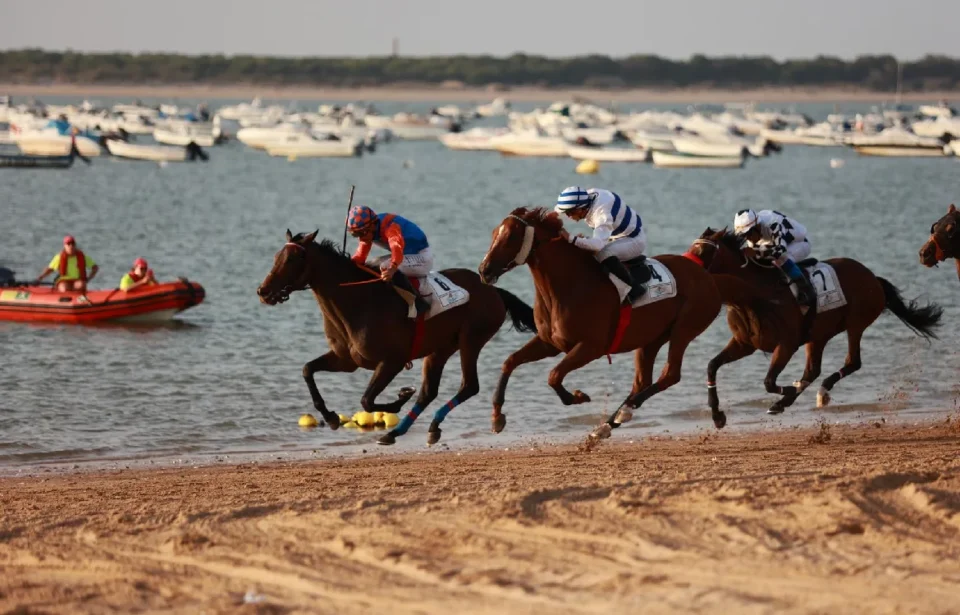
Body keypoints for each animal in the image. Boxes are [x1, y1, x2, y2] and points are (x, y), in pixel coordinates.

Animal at [256, 232, 540, 448]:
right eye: (276, 257)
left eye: (292, 259)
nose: (263, 291)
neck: (357, 302)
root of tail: (493, 290)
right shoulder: (346, 361)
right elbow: (307, 370)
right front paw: (332, 417)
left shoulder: (391, 361)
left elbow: (367, 400)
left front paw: (400, 397)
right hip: (440, 349)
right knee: (429, 391)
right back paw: (405, 431)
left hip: (471, 339)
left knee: (469, 386)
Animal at [478, 209, 720, 440]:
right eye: (493, 233)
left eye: (511, 236)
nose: (484, 270)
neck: (570, 284)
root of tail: (703, 272)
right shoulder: (550, 343)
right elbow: (510, 362)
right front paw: (497, 416)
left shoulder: (591, 347)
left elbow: (553, 375)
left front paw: (577, 396)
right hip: (652, 338)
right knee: (643, 381)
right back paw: (607, 425)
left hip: (684, 329)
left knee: (670, 374)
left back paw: (624, 413)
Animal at [688, 227, 944, 428]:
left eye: (703, 252)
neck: (753, 295)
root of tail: (873, 277)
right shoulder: (744, 343)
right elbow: (711, 366)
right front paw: (717, 416)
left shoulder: (787, 344)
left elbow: (769, 382)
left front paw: (788, 391)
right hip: (818, 335)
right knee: (813, 370)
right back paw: (785, 403)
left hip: (856, 323)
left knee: (852, 362)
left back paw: (819, 393)